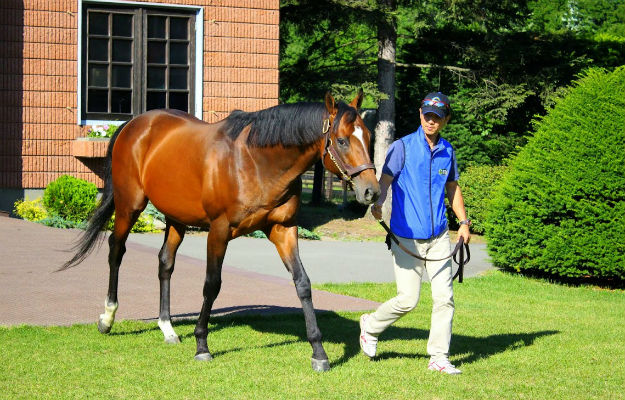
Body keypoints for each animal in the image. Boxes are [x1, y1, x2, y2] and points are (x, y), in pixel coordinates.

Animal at [61, 91, 378, 372]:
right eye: (341, 140)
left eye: (368, 138)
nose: (371, 191)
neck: (256, 162)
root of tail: (134, 123)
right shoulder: (219, 230)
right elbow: (212, 284)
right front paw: (202, 345)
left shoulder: (283, 229)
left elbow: (303, 284)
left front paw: (319, 352)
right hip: (130, 205)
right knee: (117, 250)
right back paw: (107, 318)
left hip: (176, 218)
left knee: (165, 263)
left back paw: (167, 328)